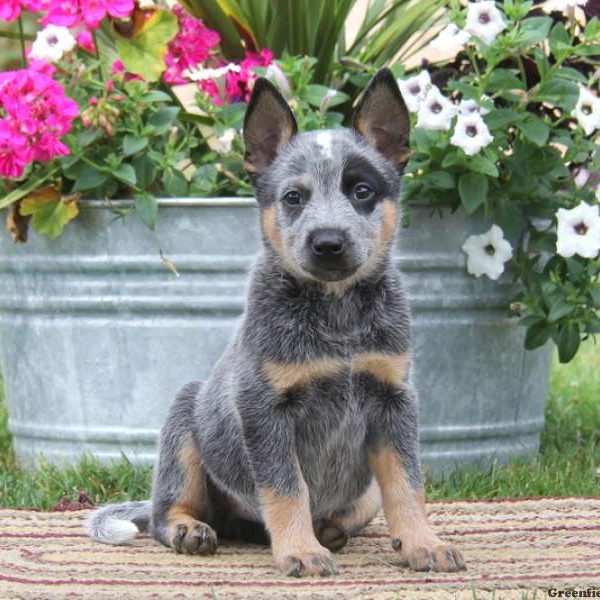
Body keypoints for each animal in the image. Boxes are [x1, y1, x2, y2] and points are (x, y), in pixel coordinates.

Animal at [86, 69, 466, 576]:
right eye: (293, 197)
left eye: (362, 191)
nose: (328, 242)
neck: (337, 317)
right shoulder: (264, 406)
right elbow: (288, 488)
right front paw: (301, 550)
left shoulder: (394, 398)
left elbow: (407, 483)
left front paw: (424, 542)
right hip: (185, 422)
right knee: (168, 510)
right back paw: (192, 529)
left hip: (364, 495)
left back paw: (331, 530)